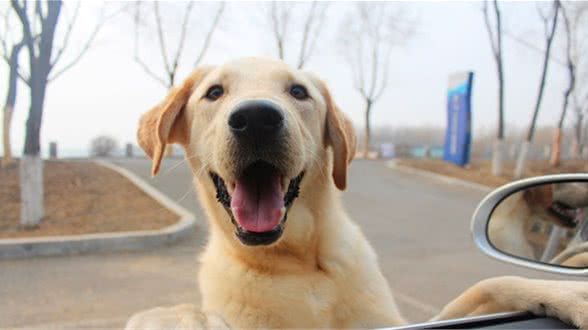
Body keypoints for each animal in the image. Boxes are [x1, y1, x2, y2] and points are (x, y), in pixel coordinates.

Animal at [125, 58, 588, 328]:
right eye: (214, 93)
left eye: (298, 92)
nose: (256, 118)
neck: (301, 266)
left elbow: (492, 282)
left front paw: (570, 295)